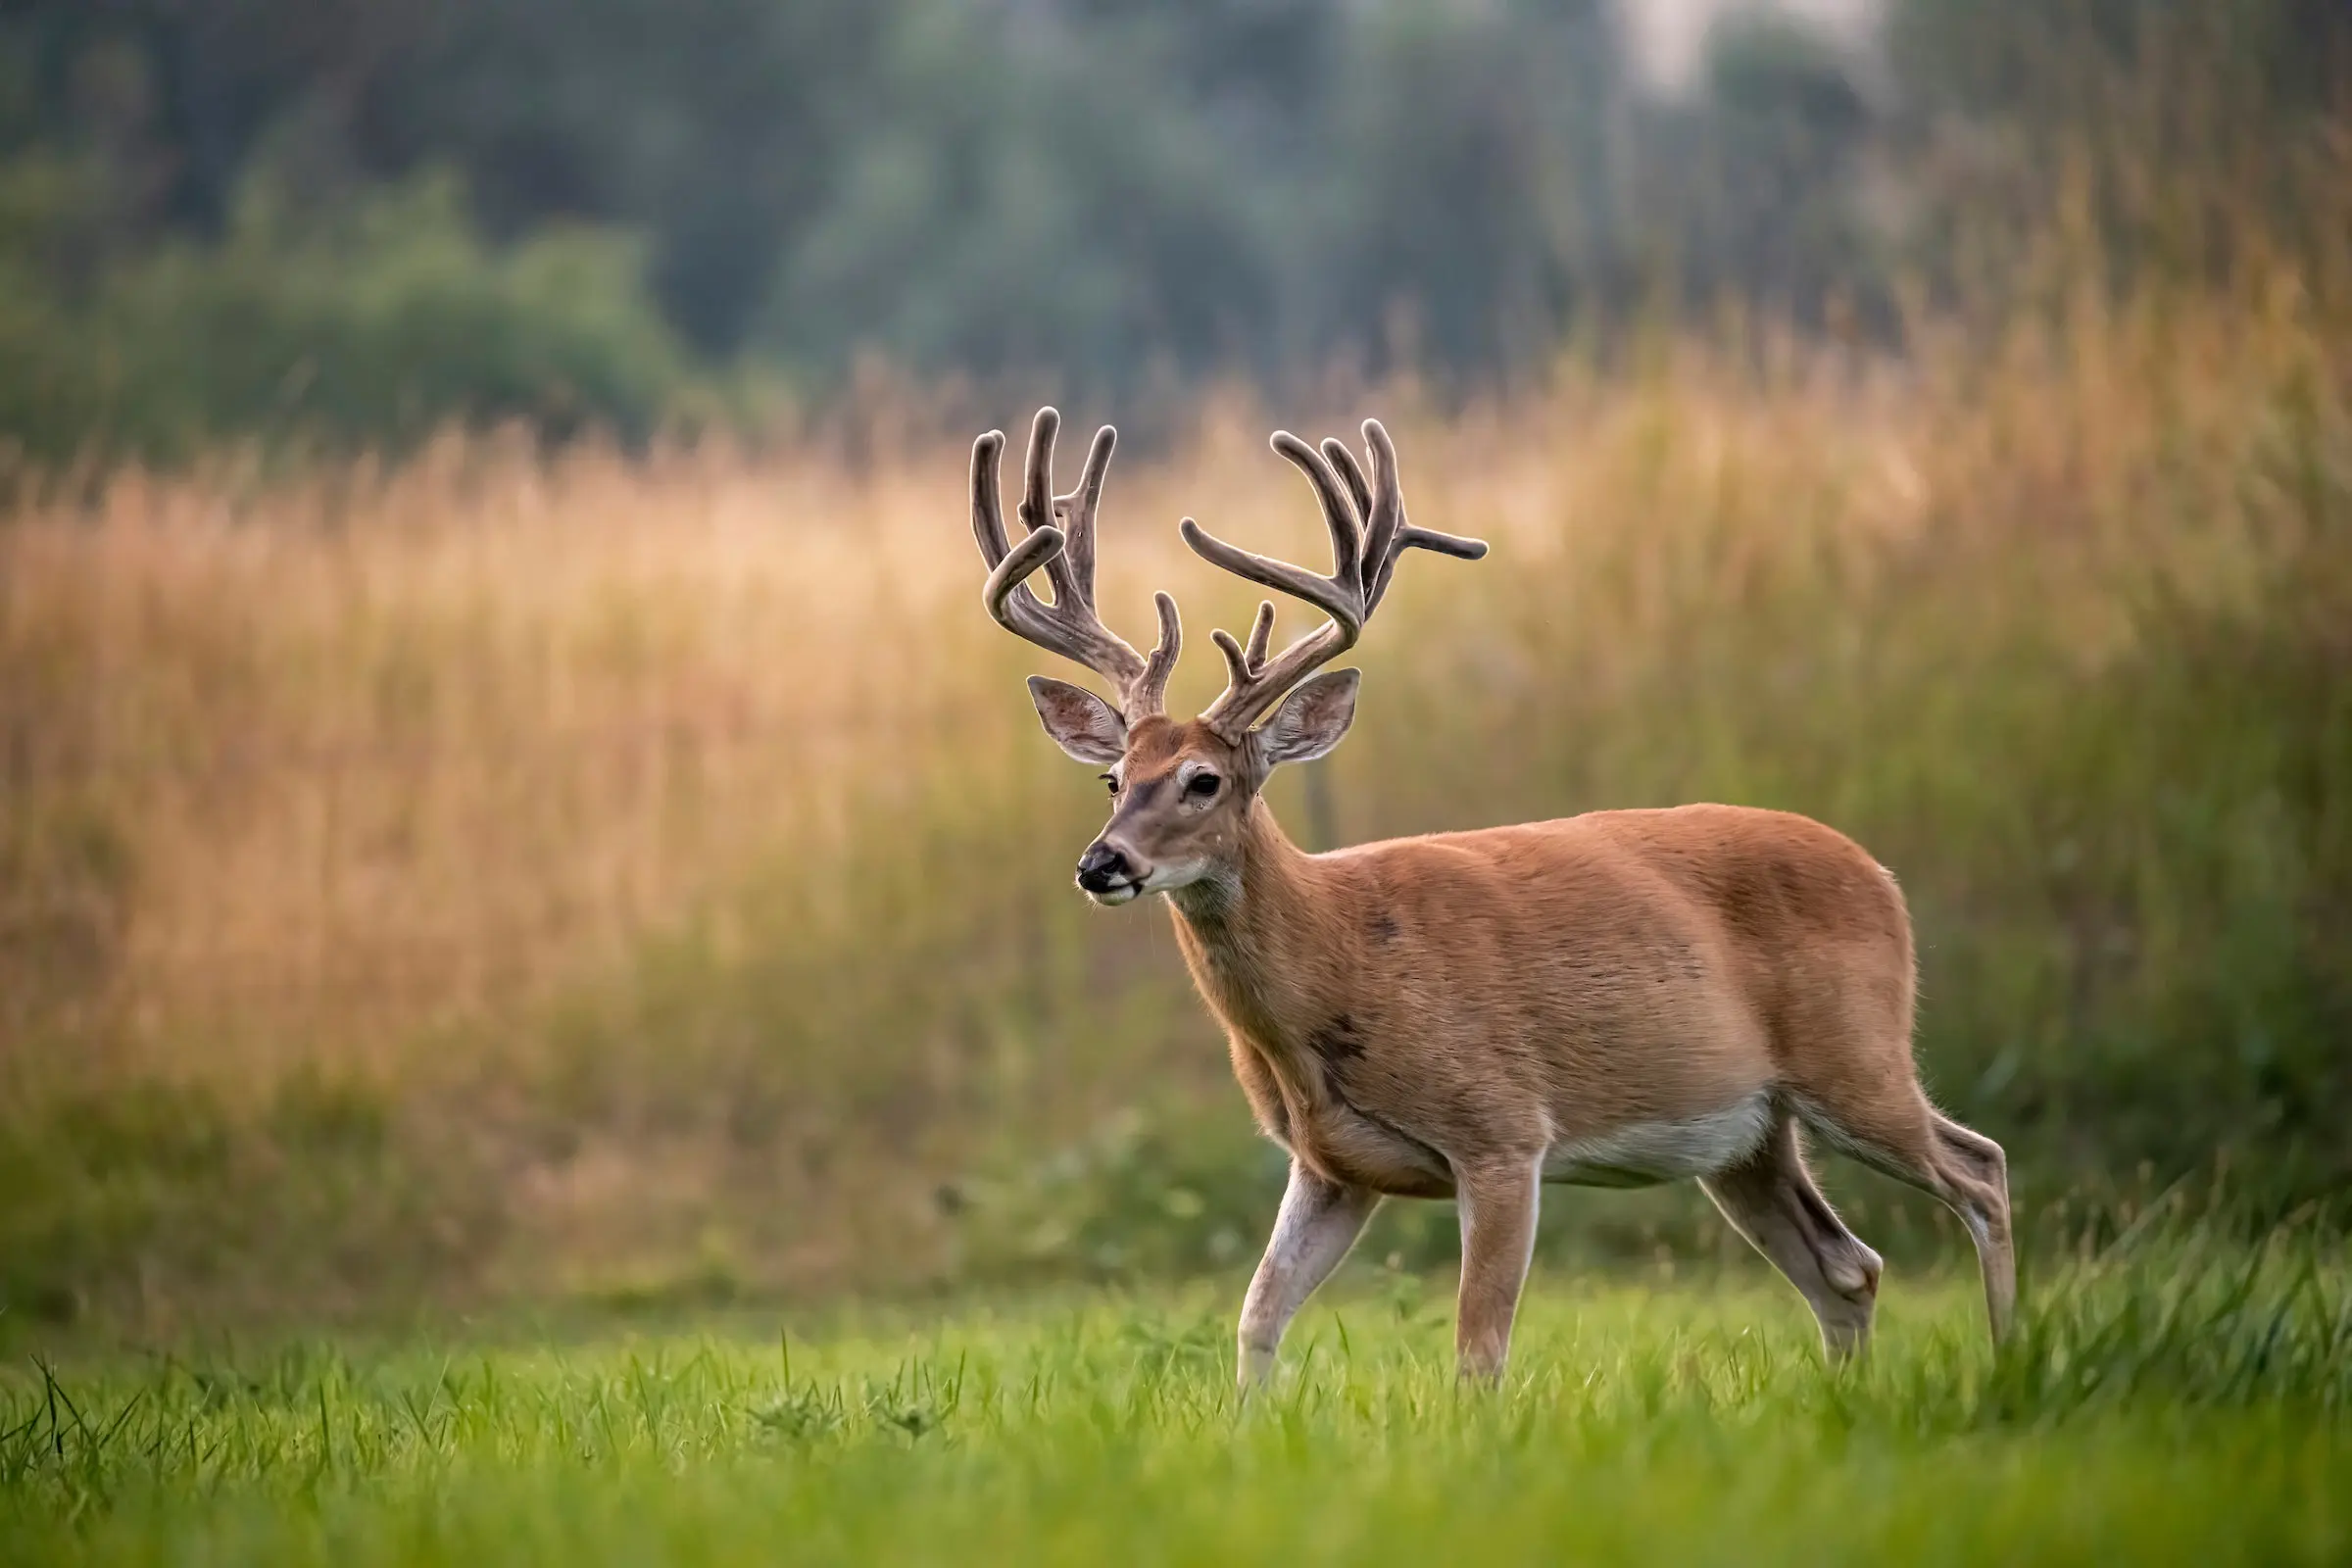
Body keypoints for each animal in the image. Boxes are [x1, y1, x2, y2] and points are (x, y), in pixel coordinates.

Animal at [964, 409, 2013, 1382]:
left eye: (1203, 782)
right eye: (1113, 779)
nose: (1102, 864)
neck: (1335, 959)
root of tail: (1879, 874)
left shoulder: (1504, 1131)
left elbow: (1478, 1349)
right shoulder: (1328, 1164)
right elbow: (1256, 1322)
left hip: (1855, 1057)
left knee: (1981, 1170)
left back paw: (2011, 1363)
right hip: (1748, 1136)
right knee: (1849, 1267)